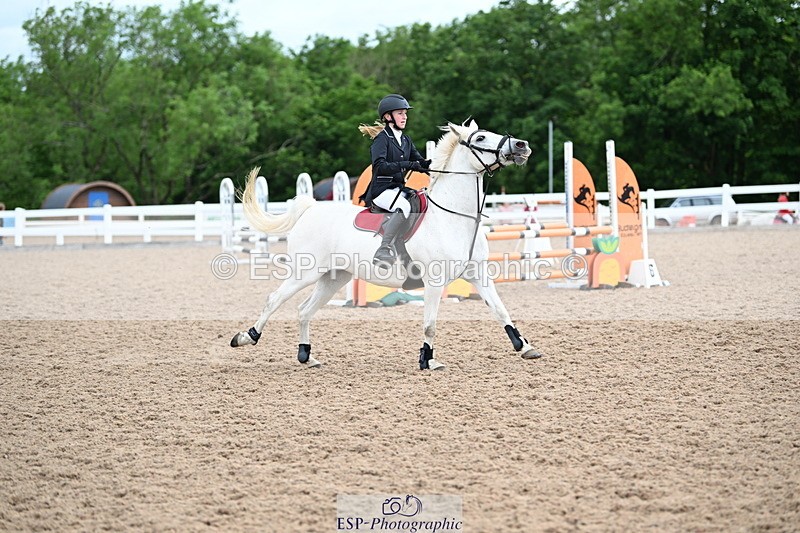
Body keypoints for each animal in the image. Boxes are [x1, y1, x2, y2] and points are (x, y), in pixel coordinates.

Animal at [230, 119, 543, 369]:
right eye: (480, 138)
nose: (522, 145)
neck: (454, 216)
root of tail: (311, 209)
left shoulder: (478, 275)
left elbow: (501, 310)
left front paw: (525, 347)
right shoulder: (434, 281)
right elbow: (430, 325)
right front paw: (428, 360)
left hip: (334, 277)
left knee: (304, 310)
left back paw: (306, 356)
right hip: (304, 272)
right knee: (274, 300)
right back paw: (246, 337)